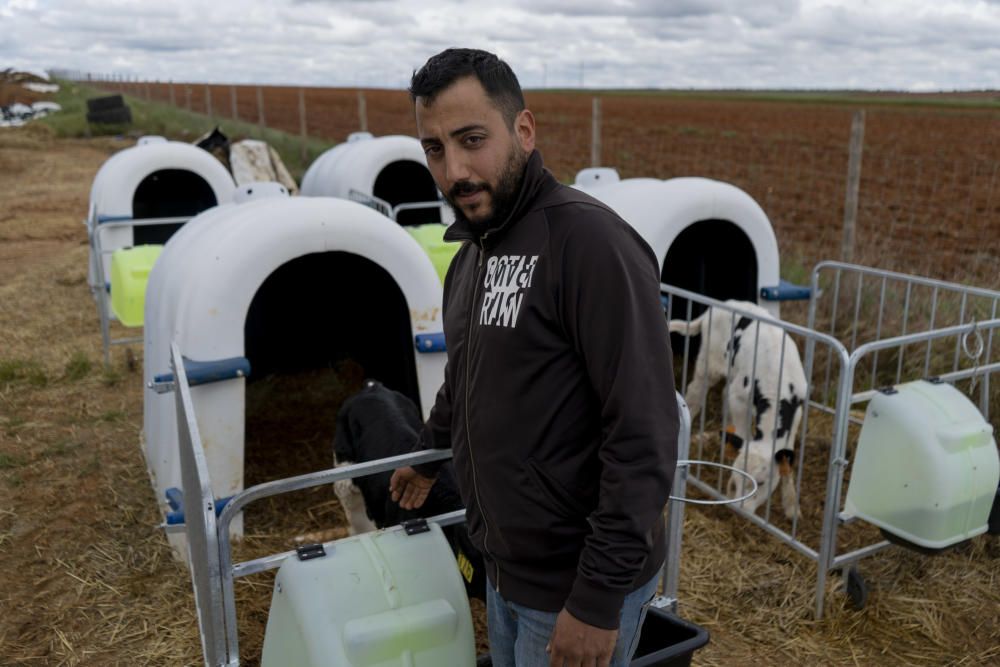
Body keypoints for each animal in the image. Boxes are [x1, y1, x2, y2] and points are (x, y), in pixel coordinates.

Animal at [672, 300, 804, 520]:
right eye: (737, 477)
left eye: (761, 482)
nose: (740, 510)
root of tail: (724, 304)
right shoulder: (739, 398)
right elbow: (742, 432)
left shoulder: (796, 413)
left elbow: (787, 457)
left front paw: (792, 506)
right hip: (708, 364)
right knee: (695, 395)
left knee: (723, 391)